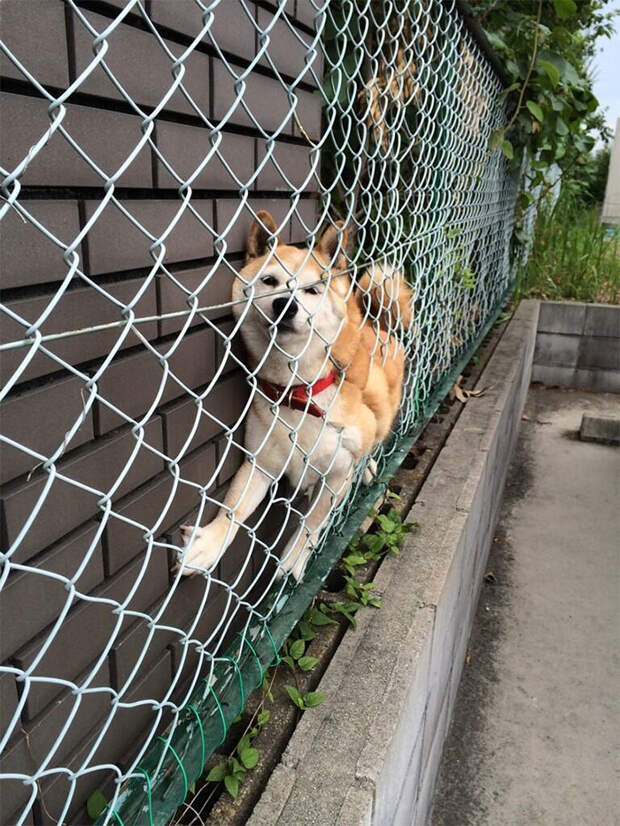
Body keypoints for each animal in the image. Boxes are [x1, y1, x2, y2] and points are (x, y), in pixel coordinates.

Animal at [179, 211, 412, 580]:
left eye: (312, 290)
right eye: (269, 281)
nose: (285, 305)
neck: (298, 392)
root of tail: (378, 325)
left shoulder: (337, 472)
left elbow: (312, 521)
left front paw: (295, 556)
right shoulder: (261, 462)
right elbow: (232, 510)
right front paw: (207, 547)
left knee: (372, 443)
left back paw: (369, 467)